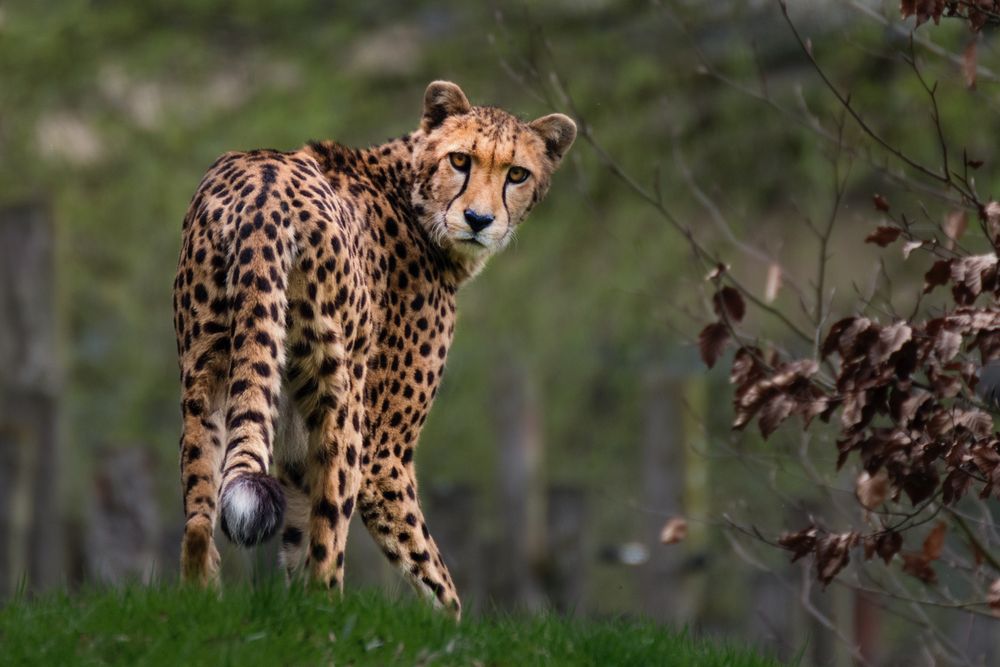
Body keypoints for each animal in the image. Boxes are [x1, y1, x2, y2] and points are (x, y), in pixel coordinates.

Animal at [174, 82, 572, 616]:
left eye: (517, 174)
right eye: (460, 160)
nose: (478, 219)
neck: (413, 195)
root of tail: (263, 184)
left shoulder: (296, 453)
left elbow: (297, 542)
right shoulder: (387, 455)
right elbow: (437, 583)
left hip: (205, 372)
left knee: (199, 526)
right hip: (343, 402)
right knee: (328, 559)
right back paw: (327, 616)